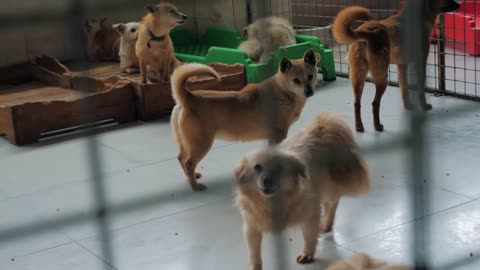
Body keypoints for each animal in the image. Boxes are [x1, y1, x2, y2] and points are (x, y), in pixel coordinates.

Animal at [171, 49, 320, 191]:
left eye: (310, 76)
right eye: (296, 80)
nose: (309, 91)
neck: (283, 91)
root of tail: (188, 97)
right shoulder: (278, 135)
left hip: (186, 142)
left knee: (181, 158)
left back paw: (191, 177)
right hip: (200, 143)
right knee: (189, 163)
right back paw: (195, 186)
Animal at [234, 112, 370, 270]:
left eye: (279, 168)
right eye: (257, 167)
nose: (266, 180)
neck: (273, 202)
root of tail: (320, 127)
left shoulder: (309, 214)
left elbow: (309, 236)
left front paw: (307, 254)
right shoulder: (251, 227)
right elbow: (254, 253)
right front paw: (255, 266)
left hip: (328, 186)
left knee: (332, 202)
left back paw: (326, 224)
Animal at [332, 0, 460, 132]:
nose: (459, 5)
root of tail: (366, 32)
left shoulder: (402, 66)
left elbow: (404, 88)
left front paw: (408, 106)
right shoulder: (419, 64)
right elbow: (420, 89)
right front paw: (424, 106)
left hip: (358, 77)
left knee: (357, 103)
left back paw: (359, 126)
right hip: (381, 77)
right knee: (375, 103)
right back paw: (377, 126)